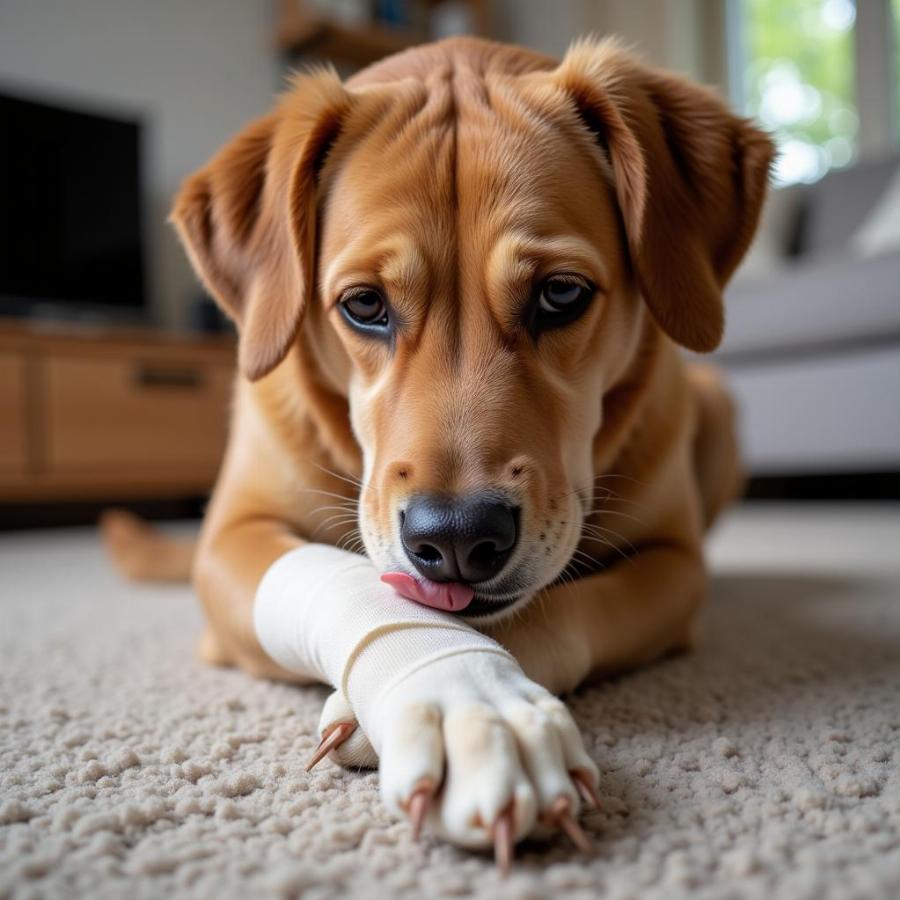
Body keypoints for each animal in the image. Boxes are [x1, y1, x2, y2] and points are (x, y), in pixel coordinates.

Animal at [103, 35, 768, 864]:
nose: (455, 540)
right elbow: (337, 576)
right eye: (364, 304)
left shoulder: (676, 565)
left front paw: (479, 706)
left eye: (561, 294)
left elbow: (554, 612)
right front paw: (456, 696)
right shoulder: (228, 539)